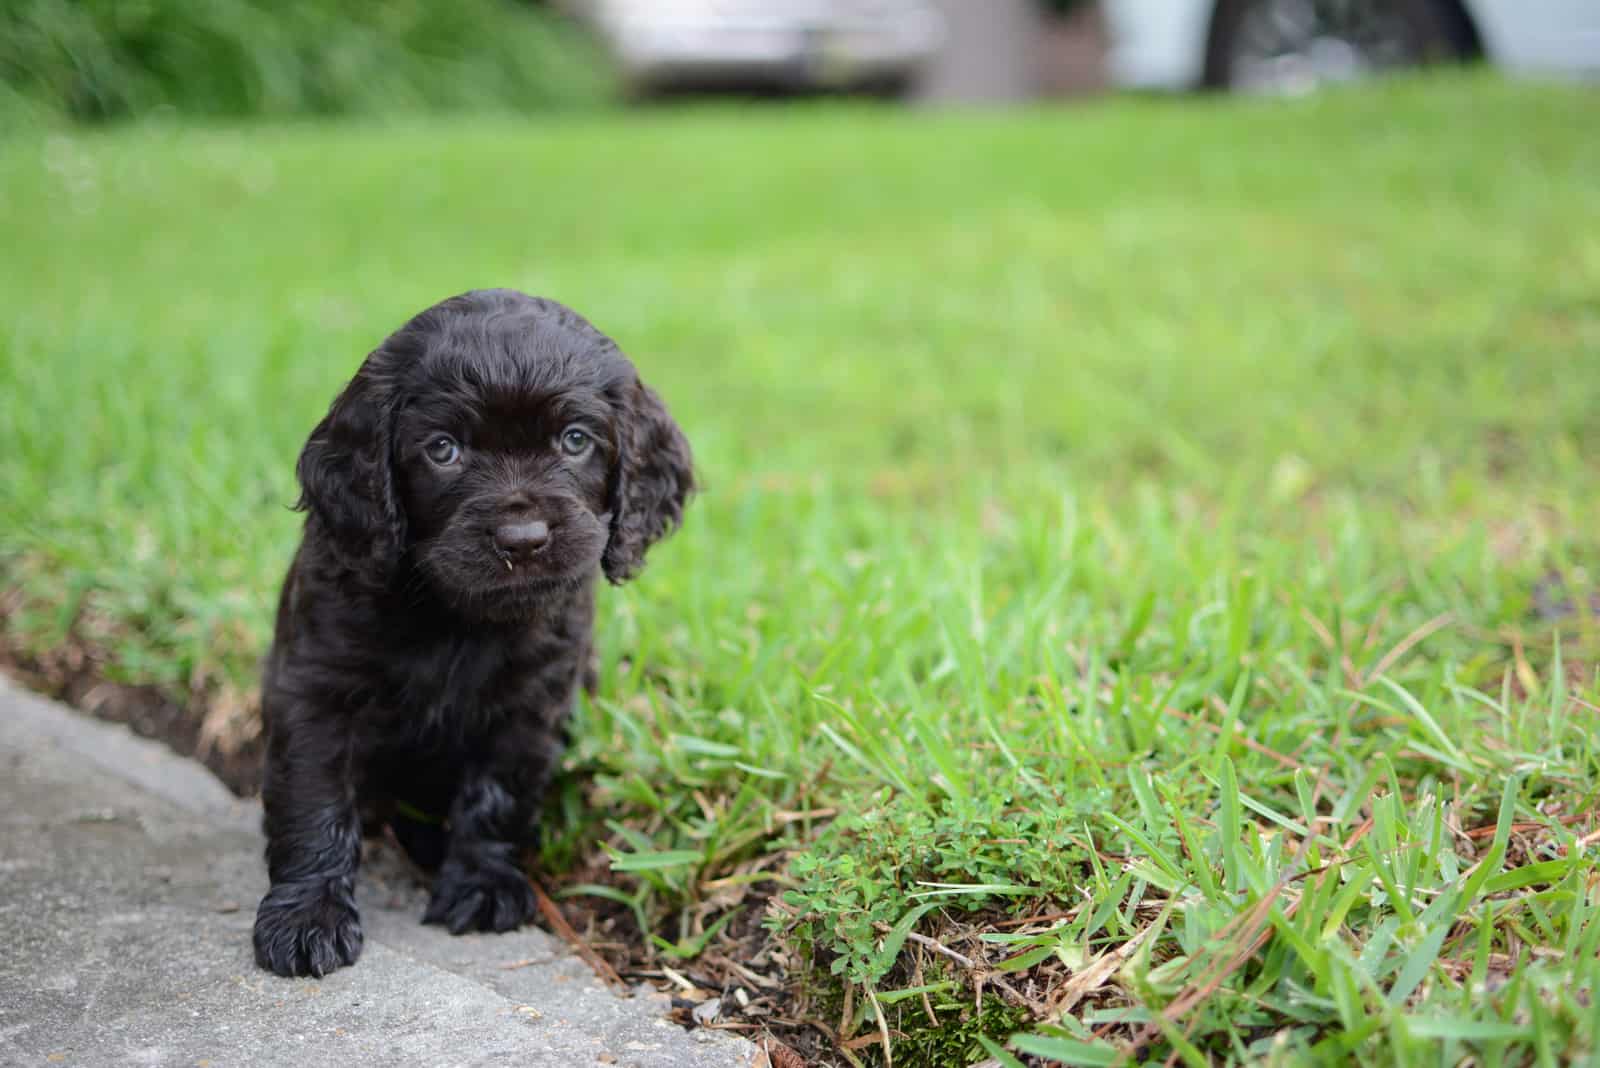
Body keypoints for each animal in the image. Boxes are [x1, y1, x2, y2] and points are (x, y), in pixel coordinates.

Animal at [252, 289, 691, 978]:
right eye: (443, 450)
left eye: (575, 440)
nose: (523, 540)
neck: (458, 619)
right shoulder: (314, 689)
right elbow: (312, 799)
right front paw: (306, 917)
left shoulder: (531, 702)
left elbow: (499, 794)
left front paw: (483, 885)